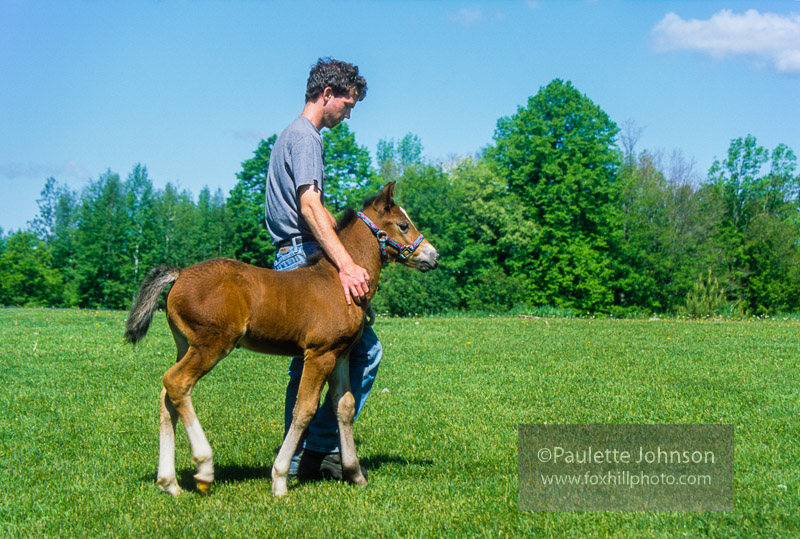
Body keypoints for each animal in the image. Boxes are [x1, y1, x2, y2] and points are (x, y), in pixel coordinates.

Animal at [123, 184, 438, 496]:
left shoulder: (340, 355)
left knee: (167, 396)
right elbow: (305, 409)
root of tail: (179, 274)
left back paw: (169, 482)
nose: (433, 256)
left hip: (186, 345)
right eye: (403, 225)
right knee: (177, 382)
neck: (339, 282)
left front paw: (354, 473)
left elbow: (344, 406)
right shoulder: (319, 354)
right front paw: (280, 478)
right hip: (212, 344)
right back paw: (204, 468)